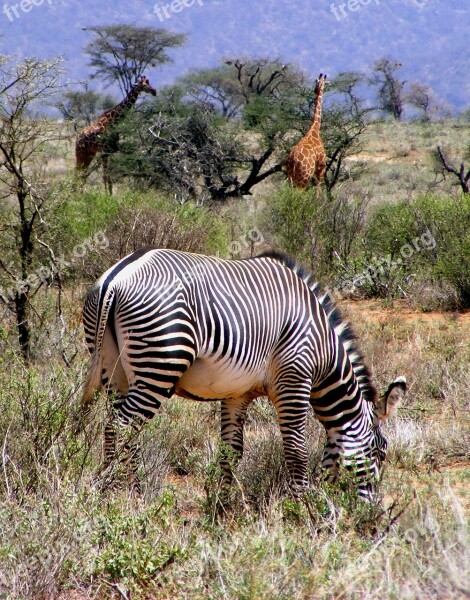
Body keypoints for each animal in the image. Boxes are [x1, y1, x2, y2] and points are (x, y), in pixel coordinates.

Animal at [80, 246, 404, 500]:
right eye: (381, 452)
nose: (370, 512)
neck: (323, 349)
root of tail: (116, 277)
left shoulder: (236, 394)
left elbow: (231, 452)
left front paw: (221, 507)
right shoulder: (294, 380)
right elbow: (296, 450)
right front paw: (302, 508)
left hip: (115, 372)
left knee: (121, 429)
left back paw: (124, 492)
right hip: (159, 363)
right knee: (121, 427)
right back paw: (122, 494)